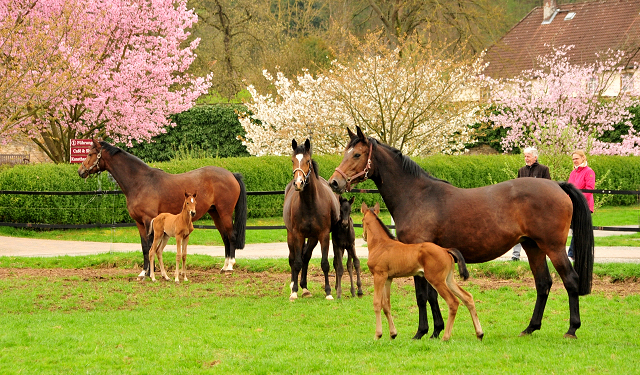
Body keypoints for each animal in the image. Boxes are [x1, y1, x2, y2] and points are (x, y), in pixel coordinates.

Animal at [78, 140, 248, 276]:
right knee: (225, 237)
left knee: (231, 235)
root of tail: (231, 175)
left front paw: (150, 272)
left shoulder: (148, 220)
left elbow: (150, 245)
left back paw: (230, 266)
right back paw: (224, 266)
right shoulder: (139, 223)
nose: (80, 171)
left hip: (225, 212)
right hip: (215, 213)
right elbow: (144, 247)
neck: (140, 182)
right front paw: (144, 271)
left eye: (91, 153)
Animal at [284, 140, 340, 302]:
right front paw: (294, 292)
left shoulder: (323, 235)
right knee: (293, 258)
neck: (310, 203)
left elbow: (324, 263)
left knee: (306, 257)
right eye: (292, 160)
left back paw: (305, 288)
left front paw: (328, 292)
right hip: (291, 235)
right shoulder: (298, 235)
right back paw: (294, 285)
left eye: (308, 161)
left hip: (313, 238)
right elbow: (296, 263)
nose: (298, 183)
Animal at [362, 203, 482, 344]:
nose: (363, 236)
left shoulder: (379, 276)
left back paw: (445, 337)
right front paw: (392, 334)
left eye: (362, 220)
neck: (380, 244)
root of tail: (445, 250)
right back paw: (479, 334)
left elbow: (377, 303)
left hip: (436, 280)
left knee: (453, 302)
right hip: (448, 279)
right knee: (467, 297)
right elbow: (386, 305)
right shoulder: (388, 278)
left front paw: (377, 335)